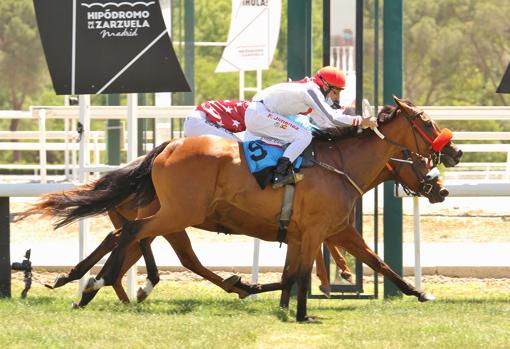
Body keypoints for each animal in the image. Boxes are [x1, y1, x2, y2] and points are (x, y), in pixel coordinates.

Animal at [20, 96, 462, 320]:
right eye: (425, 123)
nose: (453, 154)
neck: (340, 163)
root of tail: (167, 147)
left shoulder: (322, 230)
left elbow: (350, 265)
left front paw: (420, 293)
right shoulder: (319, 229)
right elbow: (311, 273)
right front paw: (302, 312)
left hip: (174, 216)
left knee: (132, 238)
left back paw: (95, 286)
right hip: (178, 214)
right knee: (133, 234)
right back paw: (99, 285)